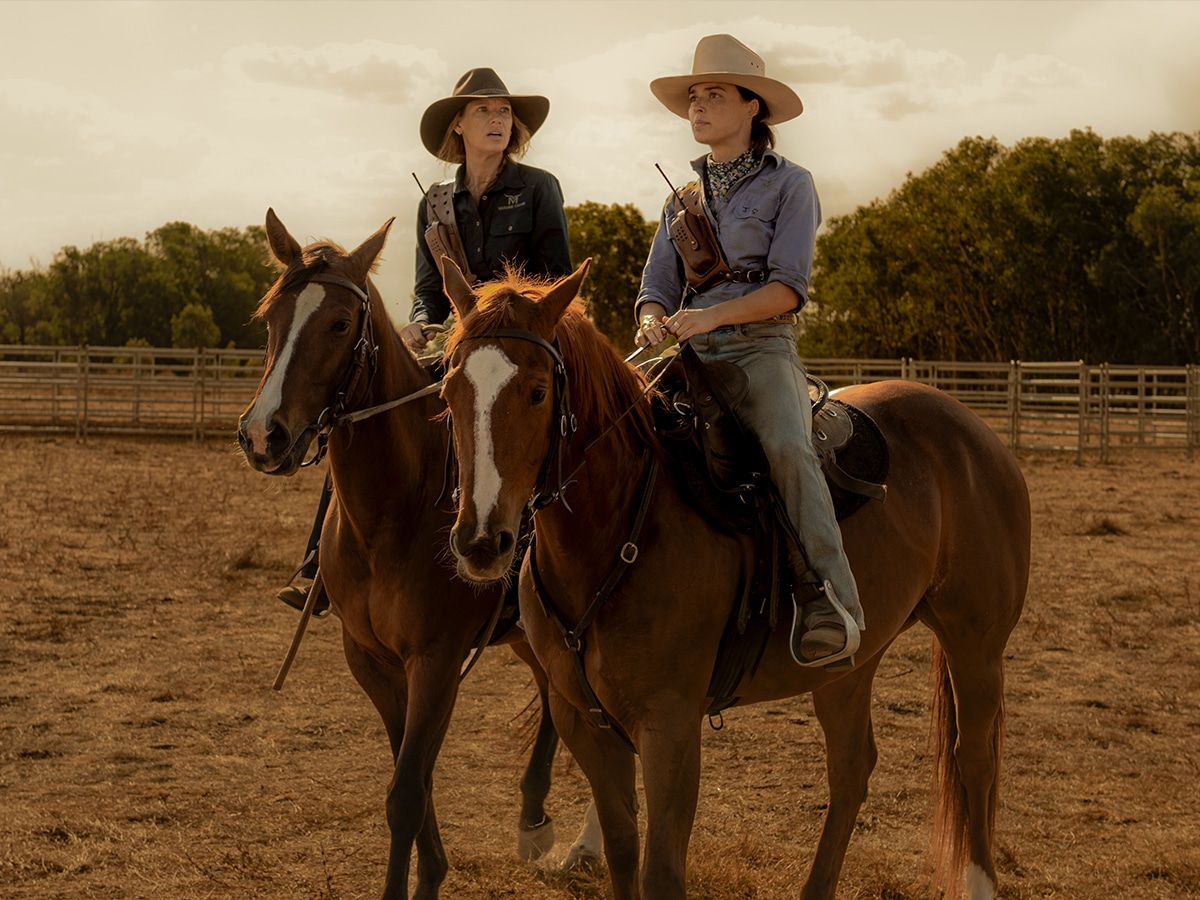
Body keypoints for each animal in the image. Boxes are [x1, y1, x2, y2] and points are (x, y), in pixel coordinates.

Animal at [234, 213, 590, 900]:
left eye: (339, 324)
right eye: (270, 318)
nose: (264, 435)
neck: (395, 512)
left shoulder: (436, 660)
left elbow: (405, 792)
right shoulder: (371, 660)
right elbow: (411, 774)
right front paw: (432, 872)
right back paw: (533, 818)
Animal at [439, 262, 1032, 900]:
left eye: (537, 391)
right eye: (449, 392)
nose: (481, 542)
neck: (620, 527)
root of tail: (973, 430)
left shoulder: (670, 726)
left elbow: (661, 871)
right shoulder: (584, 719)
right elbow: (622, 851)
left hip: (976, 644)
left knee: (975, 761)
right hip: (851, 664)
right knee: (852, 768)